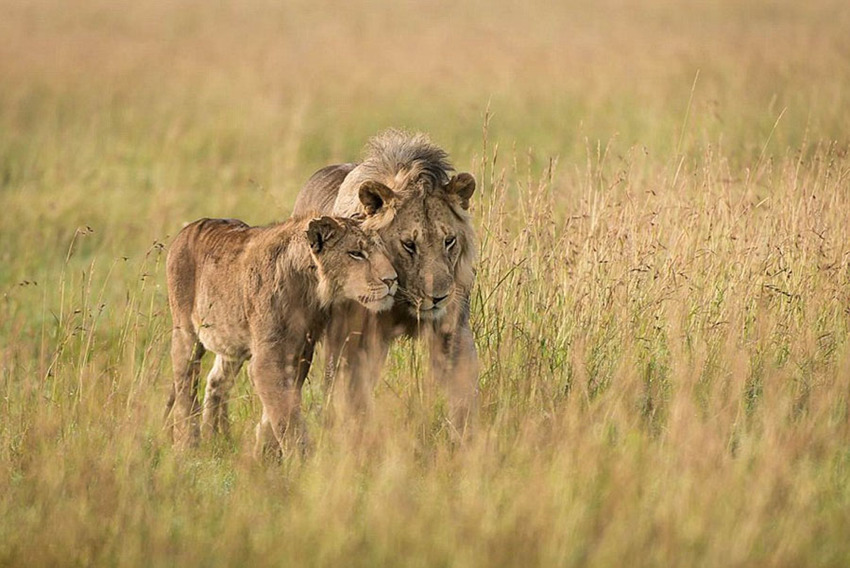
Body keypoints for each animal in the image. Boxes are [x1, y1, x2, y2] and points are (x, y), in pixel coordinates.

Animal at [166, 203, 398, 452]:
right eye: (356, 253)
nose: (392, 280)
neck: (310, 288)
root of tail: (189, 227)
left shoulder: (300, 351)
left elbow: (283, 404)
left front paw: (265, 447)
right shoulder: (268, 356)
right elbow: (285, 413)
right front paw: (300, 455)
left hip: (231, 343)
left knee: (216, 381)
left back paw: (215, 437)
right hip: (185, 332)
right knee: (185, 384)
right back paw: (187, 444)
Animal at [290, 129, 476, 438]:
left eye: (449, 241)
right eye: (409, 244)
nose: (438, 297)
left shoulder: (452, 330)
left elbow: (463, 391)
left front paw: (468, 440)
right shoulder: (351, 339)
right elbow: (349, 396)